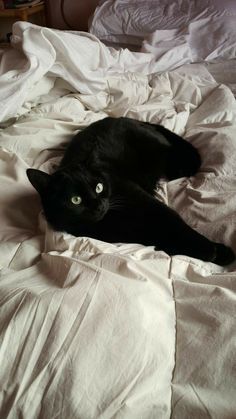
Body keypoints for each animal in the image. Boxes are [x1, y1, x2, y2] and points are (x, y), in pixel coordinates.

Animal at [27, 115, 234, 266]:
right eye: (75, 200)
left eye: (98, 187)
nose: (98, 205)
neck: (113, 218)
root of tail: (123, 117)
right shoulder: (130, 234)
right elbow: (166, 238)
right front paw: (214, 252)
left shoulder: (151, 206)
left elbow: (176, 224)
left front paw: (218, 251)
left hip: (157, 150)